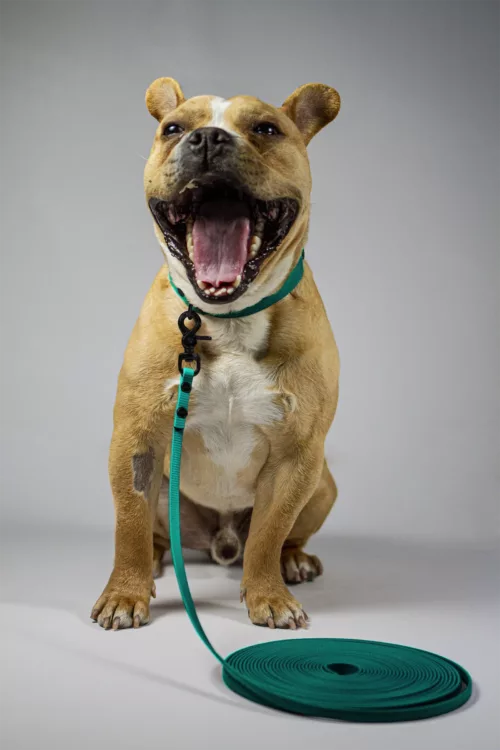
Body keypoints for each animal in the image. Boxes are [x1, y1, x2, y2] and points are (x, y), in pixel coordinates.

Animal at [91, 77, 341, 630]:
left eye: (266, 129)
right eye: (173, 129)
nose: (207, 138)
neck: (228, 320)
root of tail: (221, 541)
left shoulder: (297, 457)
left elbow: (268, 533)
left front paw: (268, 594)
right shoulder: (137, 442)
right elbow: (128, 525)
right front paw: (125, 592)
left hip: (323, 485)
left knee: (280, 536)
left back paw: (294, 560)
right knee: (153, 533)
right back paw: (156, 558)